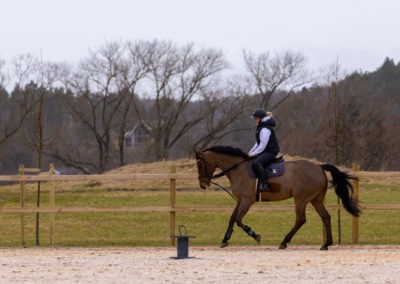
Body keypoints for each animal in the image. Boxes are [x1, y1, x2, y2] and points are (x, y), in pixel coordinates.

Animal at [192, 145, 360, 250]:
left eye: (200, 165)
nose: (202, 184)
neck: (239, 169)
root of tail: (319, 166)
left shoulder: (247, 201)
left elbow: (239, 220)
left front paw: (255, 235)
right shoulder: (241, 200)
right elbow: (232, 218)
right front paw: (225, 240)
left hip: (301, 199)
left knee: (301, 219)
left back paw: (284, 242)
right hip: (316, 200)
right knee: (326, 217)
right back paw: (326, 244)